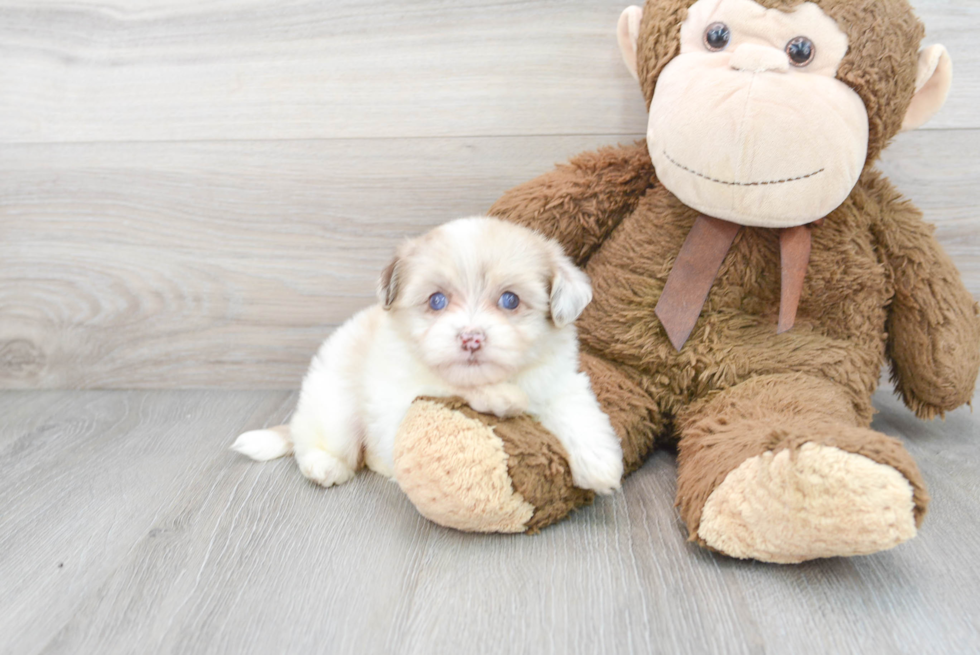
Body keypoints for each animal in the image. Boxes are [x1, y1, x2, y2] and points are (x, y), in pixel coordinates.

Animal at [234, 218, 624, 494]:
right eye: (437, 301)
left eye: (510, 300)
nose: (471, 338)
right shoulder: (400, 395)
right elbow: (448, 386)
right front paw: (502, 397)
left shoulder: (560, 381)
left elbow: (578, 412)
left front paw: (600, 464)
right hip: (334, 402)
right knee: (320, 439)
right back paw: (325, 465)